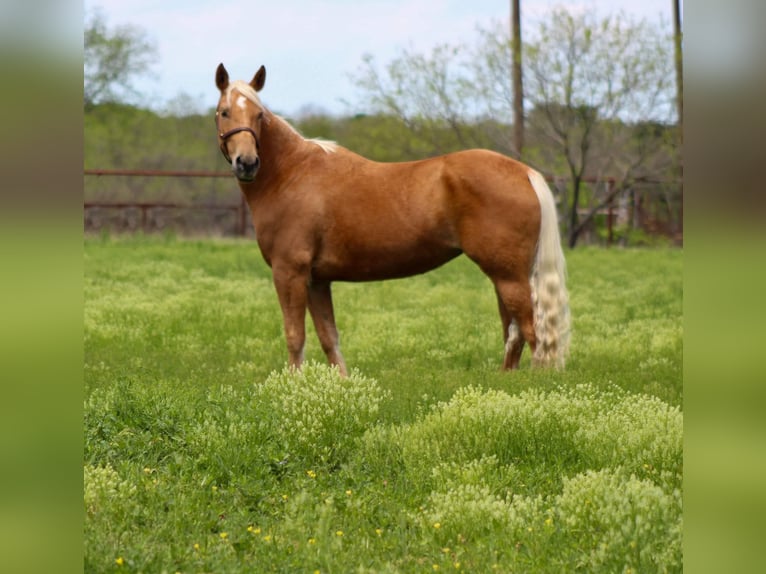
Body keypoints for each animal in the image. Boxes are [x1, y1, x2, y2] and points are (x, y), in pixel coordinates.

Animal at [216, 64, 568, 378]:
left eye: (259, 115)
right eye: (224, 112)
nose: (247, 163)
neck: (292, 174)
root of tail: (524, 171)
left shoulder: (289, 272)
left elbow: (295, 336)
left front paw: (291, 386)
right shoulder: (317, 280)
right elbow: (329, 338)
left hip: (509, 276)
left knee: (531, 331)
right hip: (503, 275)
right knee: (514, 333)